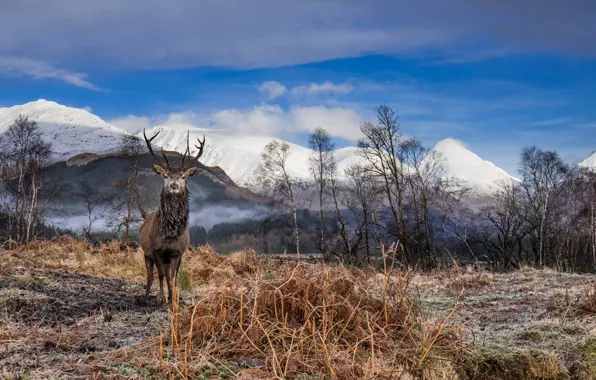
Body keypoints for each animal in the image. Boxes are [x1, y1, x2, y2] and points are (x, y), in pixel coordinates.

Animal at [139, 128, 205, 306]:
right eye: (165, 176)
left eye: (183, 176)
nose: (173, 185)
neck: (170, 234)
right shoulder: (156, 250)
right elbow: (161, 275)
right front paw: (162, 298)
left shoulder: (178, 252)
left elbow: (174, 276)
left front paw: (173, 298)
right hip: (146, 254)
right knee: (150, 275)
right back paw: (145, 298)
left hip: (167, 258)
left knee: (168, 273)